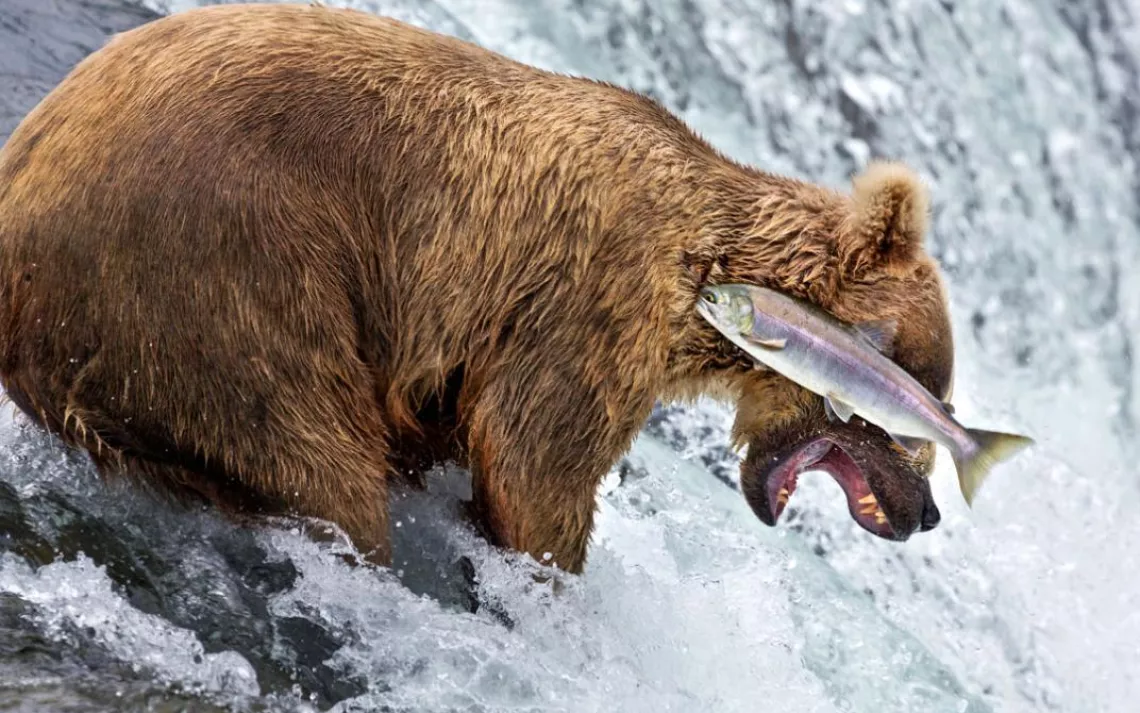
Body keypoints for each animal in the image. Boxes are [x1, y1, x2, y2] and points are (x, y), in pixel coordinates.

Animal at [0, 2, 950, 575]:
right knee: (315, 453)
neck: (709, 268)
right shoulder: (592, 294)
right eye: (920, 394)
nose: (928, 510)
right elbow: (536, 459)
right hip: (224, 266)